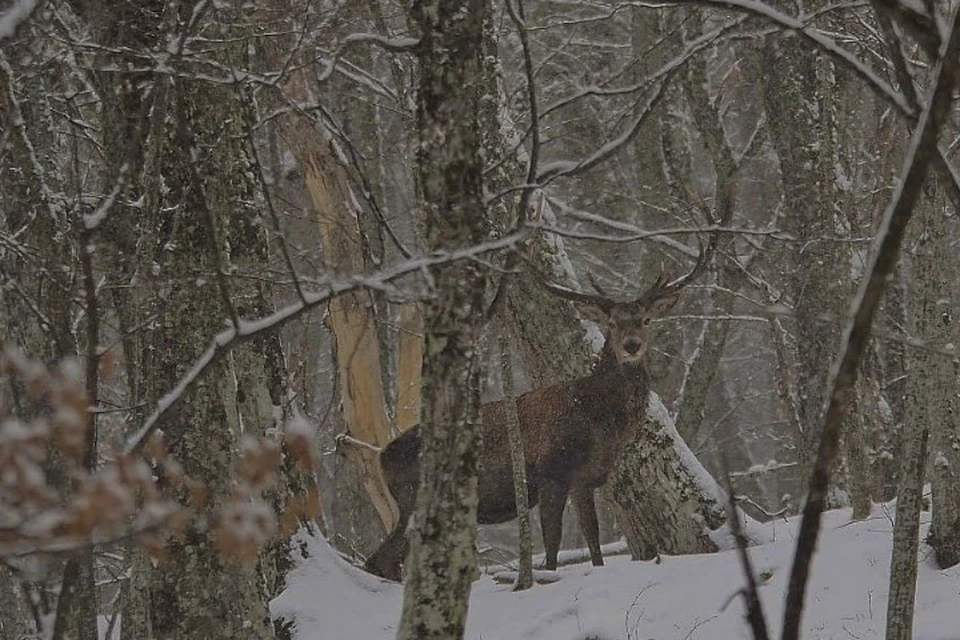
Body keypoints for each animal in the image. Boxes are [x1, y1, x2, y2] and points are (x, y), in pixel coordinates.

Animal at [360, 254, 704, 580]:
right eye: (612, 322)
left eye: (646, 319)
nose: (631, 346)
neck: (599, 421)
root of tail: (382, 456)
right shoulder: (551, 472)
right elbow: (552, 542)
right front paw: (547, 577)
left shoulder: (583, 480)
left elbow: (592, 536)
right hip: (412, 499)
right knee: (380, 559)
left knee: (385, 560)